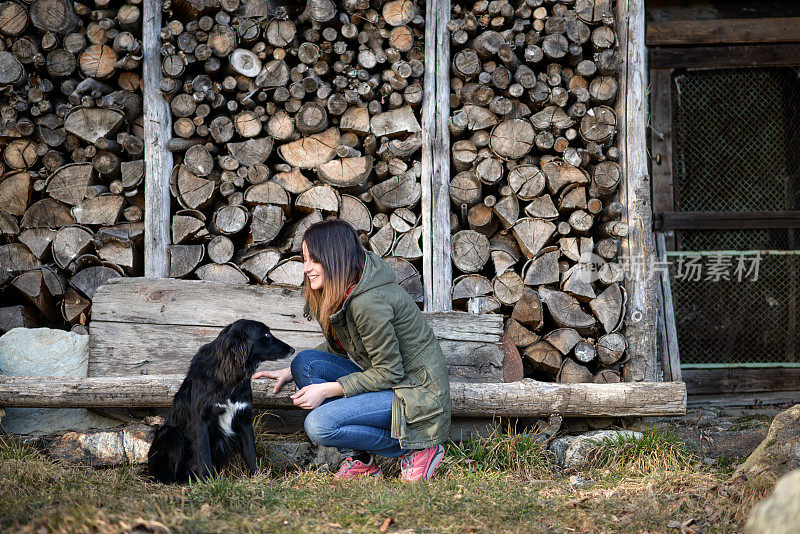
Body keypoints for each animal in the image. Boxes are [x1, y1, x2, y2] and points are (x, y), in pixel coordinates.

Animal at [148, 320, 294, 488]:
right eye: (266, 335)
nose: (292, 349)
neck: (229, 378)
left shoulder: (244, 420)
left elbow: (252, 454)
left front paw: (261, 479)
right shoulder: (201, 421)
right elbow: (204, 456)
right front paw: (208, 483)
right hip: (171, 433)